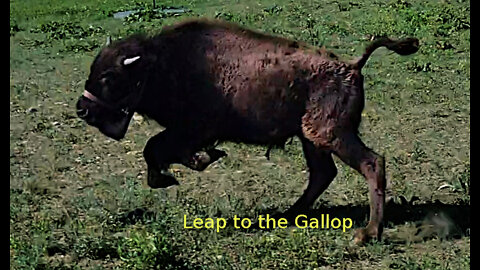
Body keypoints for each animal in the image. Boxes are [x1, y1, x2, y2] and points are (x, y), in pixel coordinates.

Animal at [77, 18, 418, 243]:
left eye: (109, 76)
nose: (82, 108)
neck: (161, 62)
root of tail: (352, 65)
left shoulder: (190, 130)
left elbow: (153, 148)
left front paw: (182, 170)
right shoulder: (186, 133)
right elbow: (157, 151)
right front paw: (195, 163)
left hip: (329, 134)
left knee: (372, 163)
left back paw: (368, 233)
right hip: (310, 139)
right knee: (323, 174)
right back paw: (286, 216)